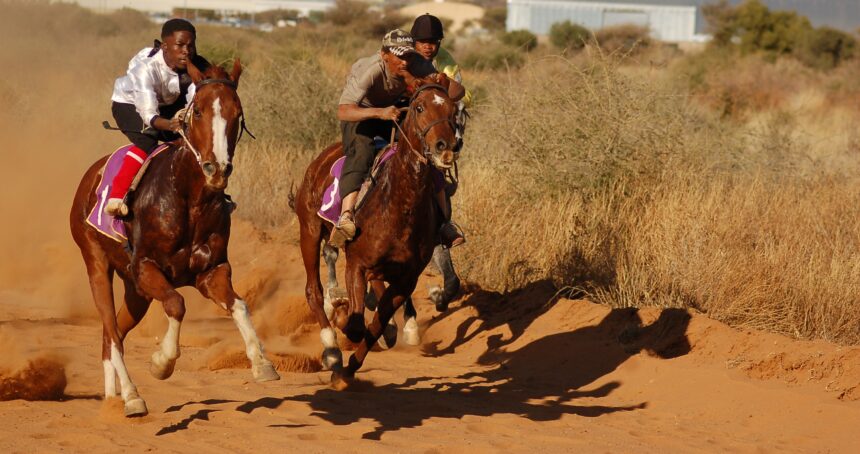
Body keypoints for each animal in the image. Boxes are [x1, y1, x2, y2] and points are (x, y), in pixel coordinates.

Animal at [69, 60, 279, 417]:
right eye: (199, 112)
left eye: (237, 113)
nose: (216, 169)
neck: (188, 199)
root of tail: (89, 179)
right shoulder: (146, 267)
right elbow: (176, 304)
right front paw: (162, 362)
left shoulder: (210, 271)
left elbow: (239, 305)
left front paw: (262, 363)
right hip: (96, 264)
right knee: (111, 330)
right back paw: (132, 396)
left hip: (135, 292)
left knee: (113, 334)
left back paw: (113, 396)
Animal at [293, 74, 459, 388]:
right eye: (419, 108)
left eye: (453, 110)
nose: (445, 147)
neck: (399, 205)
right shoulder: (357, 264)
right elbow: (357, 324)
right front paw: (342, 318)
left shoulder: (406, 279)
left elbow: (377, 323)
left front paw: (348, 372)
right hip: (309, 229)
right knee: (312, 290)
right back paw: (331, 347)